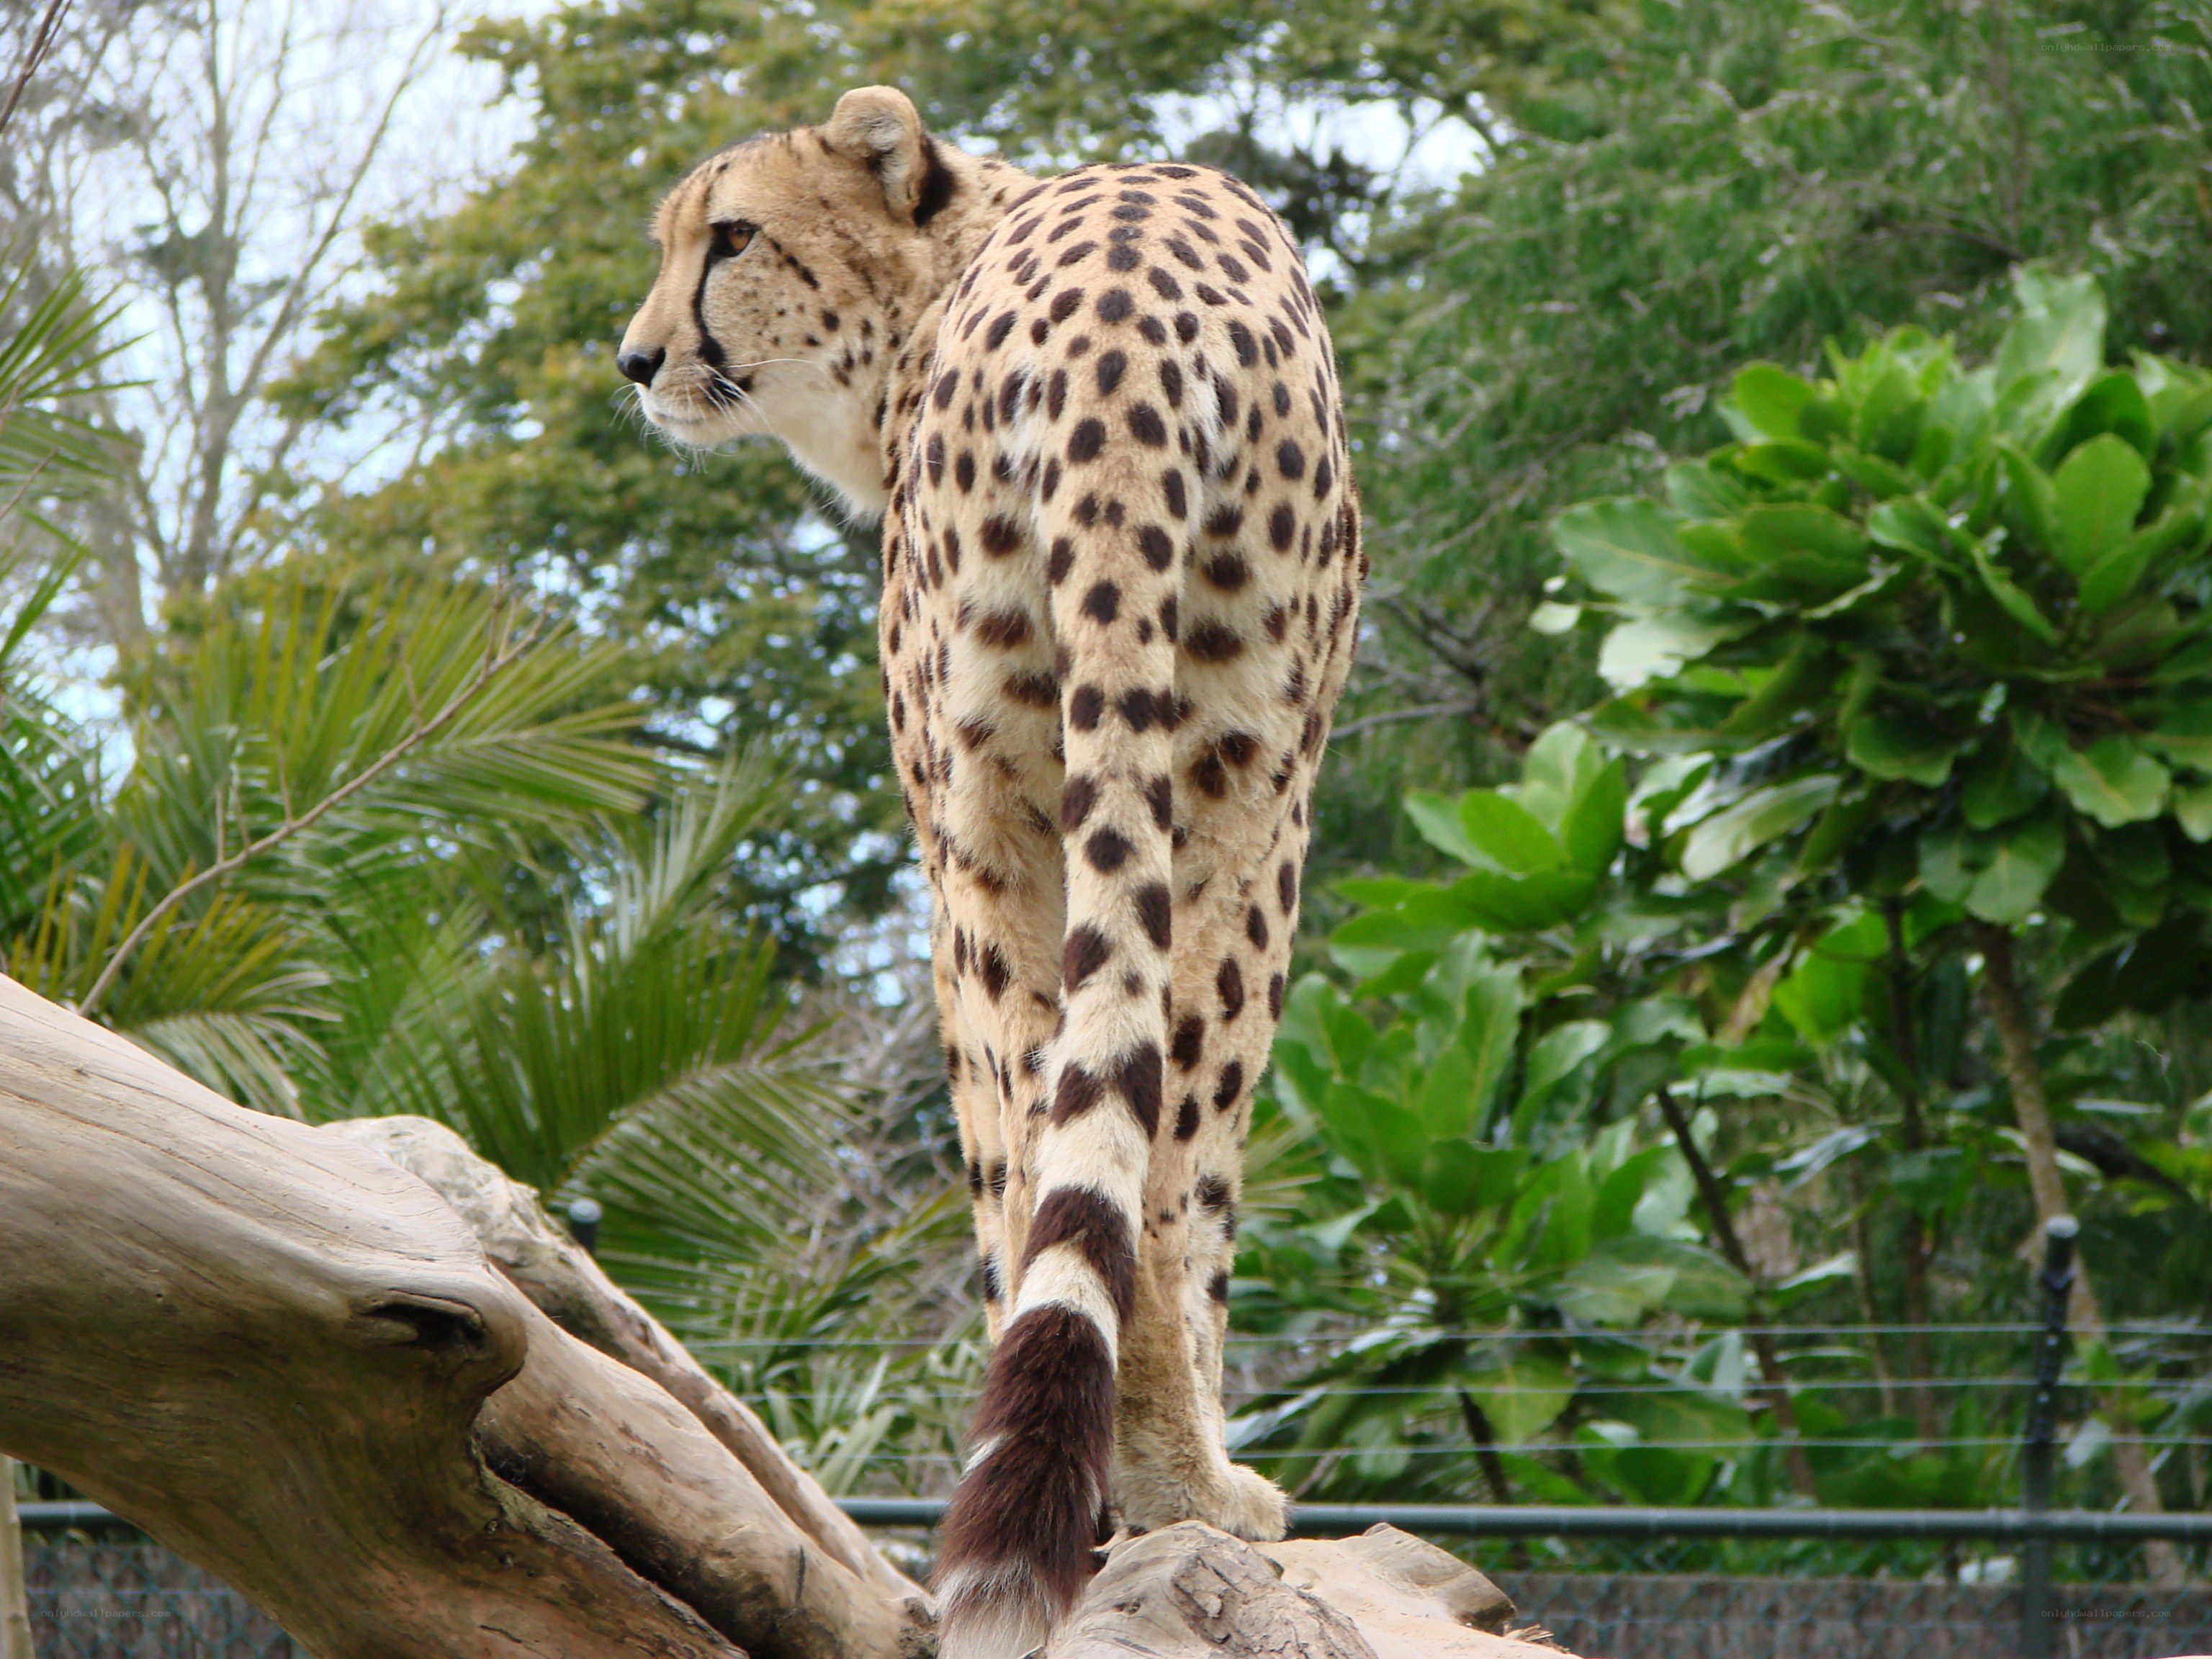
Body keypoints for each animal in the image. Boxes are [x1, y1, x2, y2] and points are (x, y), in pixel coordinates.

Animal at [617, 86, 1363, 1659]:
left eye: (730, 239)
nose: (637, 359)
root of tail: (1122, 333)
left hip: (1096, 813)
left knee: (1074, 1125)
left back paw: (1151, 1483)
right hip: (1196, 801)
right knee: (1141, 1133)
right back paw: (1169, 1483)